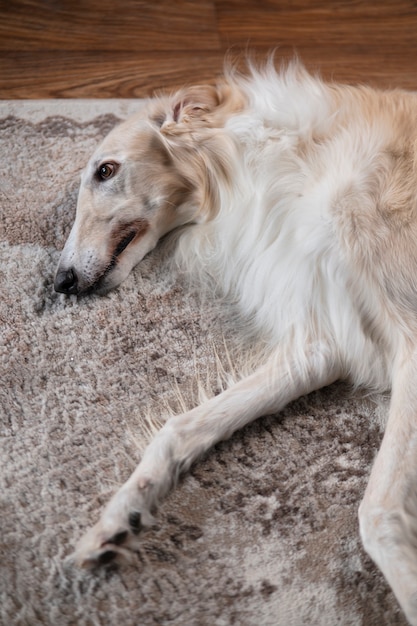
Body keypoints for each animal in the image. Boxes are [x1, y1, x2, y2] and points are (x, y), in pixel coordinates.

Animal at [55, 59, 417, 624]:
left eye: (106, 171)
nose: (61, 281)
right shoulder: (320, 336)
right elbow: (178, 428)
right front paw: (117, 518)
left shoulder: (409, 340)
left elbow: (377, 511)